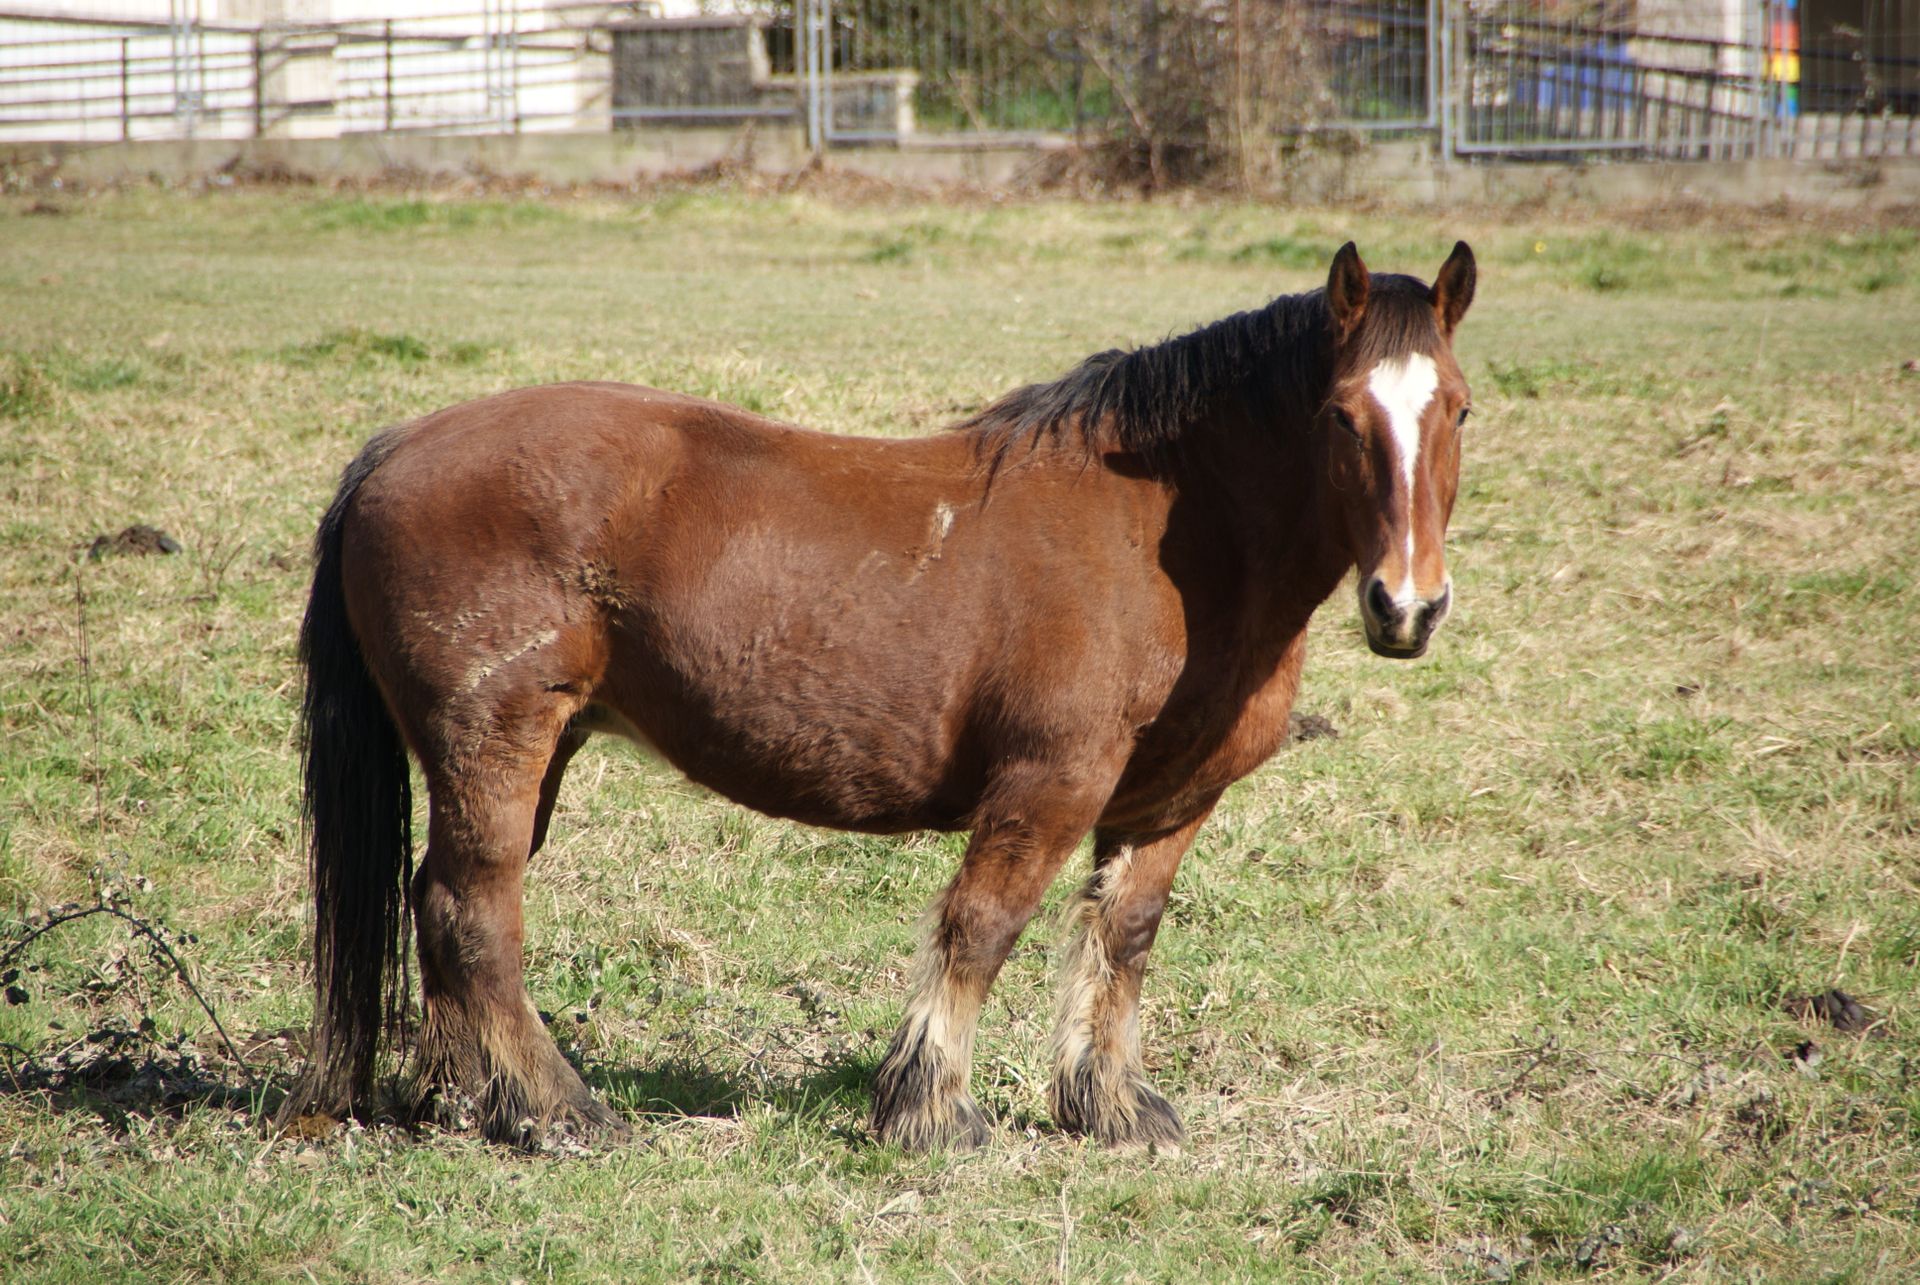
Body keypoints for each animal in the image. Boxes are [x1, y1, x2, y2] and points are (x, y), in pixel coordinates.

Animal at [280, 240, 1476, 1152]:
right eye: (1340, 415)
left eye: (1460, 411)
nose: (1406, 605)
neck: (1167, 545)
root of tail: (396, 447)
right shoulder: (1048, 782)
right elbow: (982, 928)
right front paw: (931, 1112)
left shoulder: (1168, 804)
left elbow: (1121, 938)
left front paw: (1109, 1107)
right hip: (496, 739)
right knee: (473, 911)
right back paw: (558, 1109)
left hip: (530, 751)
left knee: (437, 907)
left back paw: (469, 1101)